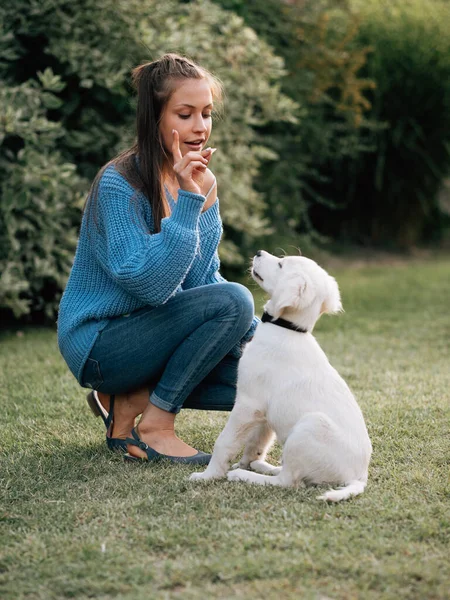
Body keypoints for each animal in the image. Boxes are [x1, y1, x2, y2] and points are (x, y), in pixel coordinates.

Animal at [190, 250, 372, 502]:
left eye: (281, 264)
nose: (258, 253)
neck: (285, 328)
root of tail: (358, 477)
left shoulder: (248, 403)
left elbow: (224, 441)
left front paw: (209, 475)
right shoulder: (263, 410)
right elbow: (255, 442)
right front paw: (245, 463)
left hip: (309, 427)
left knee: (289, 482)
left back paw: (246, 477)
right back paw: (261, 467)